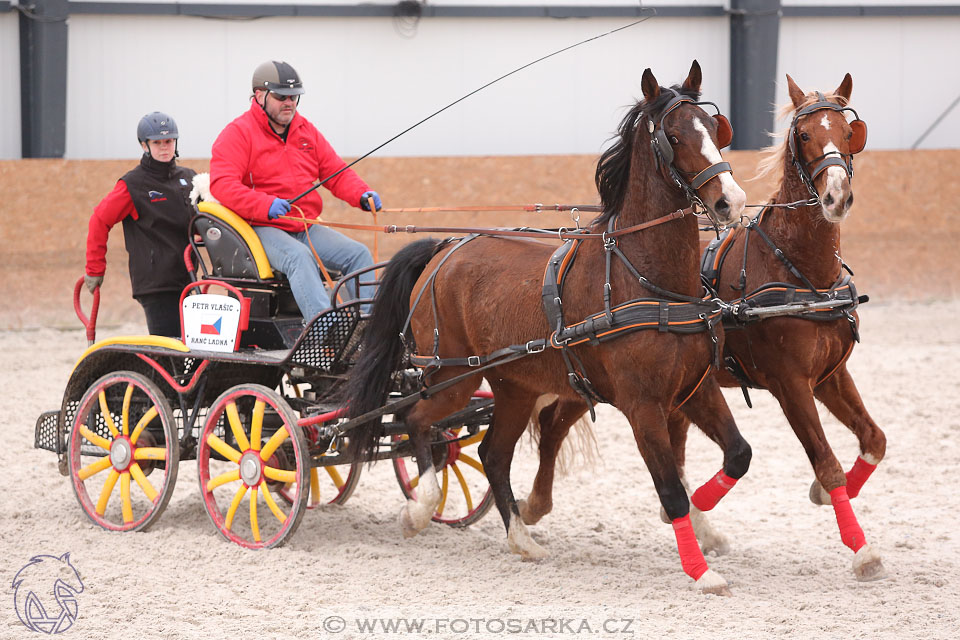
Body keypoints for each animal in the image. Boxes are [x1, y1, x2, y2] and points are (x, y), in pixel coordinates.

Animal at [344, 61, 752, 596]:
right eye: (675, 136)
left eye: (715, 129)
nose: (731, 202)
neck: (647, 280)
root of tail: (446, 248)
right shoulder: (641, 405)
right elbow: (670, 489)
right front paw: (701, 571)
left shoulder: (695, 388)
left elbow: (737, 456)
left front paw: (704, 520)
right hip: (451, 377)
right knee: (417, 424)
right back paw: (419, 510)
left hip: (514, 386)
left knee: (492, 453)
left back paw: (522, 539)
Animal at [672, 74, 880, 580]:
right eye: (804, 135)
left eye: (849, 132)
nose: (837, 196)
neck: (802, 273)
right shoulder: (790, 385)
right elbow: (826, 461)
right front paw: (862, 549)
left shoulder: (829, 376)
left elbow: (874, 440)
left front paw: (824, 496)